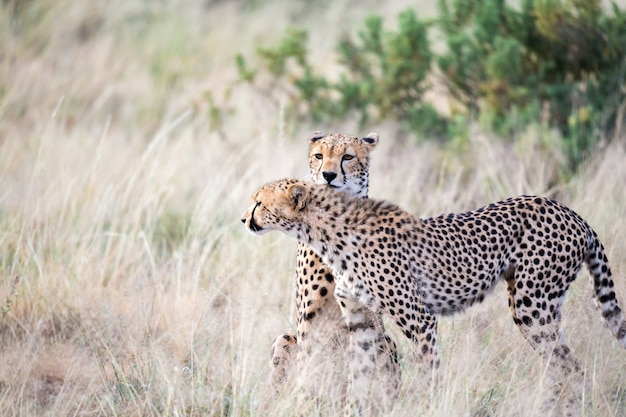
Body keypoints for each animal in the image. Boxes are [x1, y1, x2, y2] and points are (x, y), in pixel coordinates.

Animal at [243, 178, 624, 412]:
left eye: (259, 202)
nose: (245, 219)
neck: (326, 237)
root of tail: (571, 213)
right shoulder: (361, 321)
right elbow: (361, 374)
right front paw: (356, 409)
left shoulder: (419, 320)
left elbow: (429, 372)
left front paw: (432, 405)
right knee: (563, 364)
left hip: (533, 306)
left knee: (569, 366)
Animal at [268, 133, 400, 410]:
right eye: (319, 155)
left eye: (347, 157)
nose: (328, 175)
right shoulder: (310, 314)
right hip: (285, 338)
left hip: (388, 342)